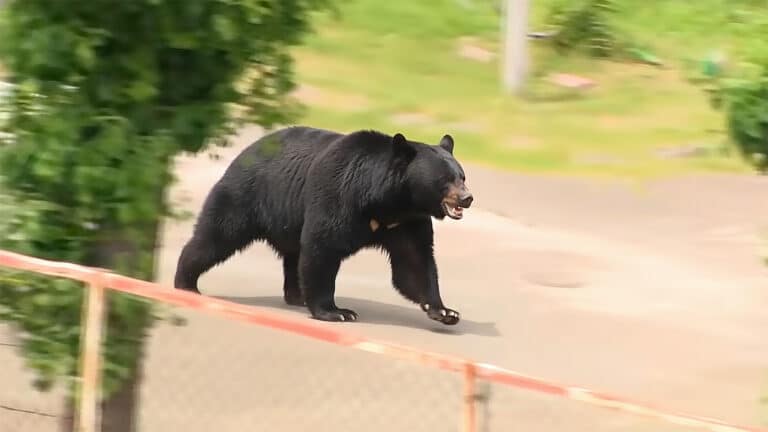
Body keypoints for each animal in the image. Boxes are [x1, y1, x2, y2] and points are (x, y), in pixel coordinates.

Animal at [173, 126, 474, 325]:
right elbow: (323, 248)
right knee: (217, 236)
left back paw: (296, 295)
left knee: (293, 257)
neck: (386, 202)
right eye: (444, 179)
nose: (467, 198)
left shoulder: (407, 222)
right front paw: (336, 311)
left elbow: (415, 263)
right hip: (245, 195)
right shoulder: (338, 196)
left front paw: (445, 311)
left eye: (462, 176)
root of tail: (247, 149)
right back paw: (186, 282)